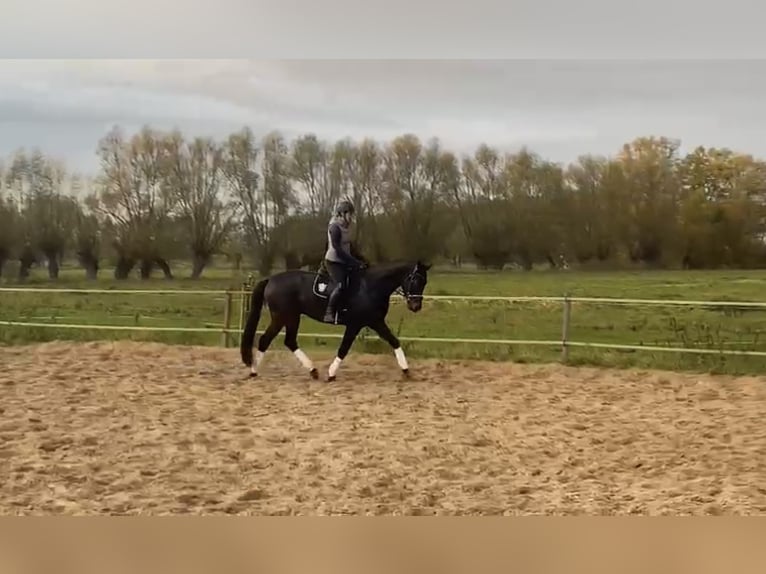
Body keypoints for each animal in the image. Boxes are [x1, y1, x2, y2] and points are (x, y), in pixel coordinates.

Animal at [239, 260, 431, 382]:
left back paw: (313, 371)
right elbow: (344, 348)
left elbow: (394, 341)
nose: (416, 306)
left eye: (424, 282)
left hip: (292, 317)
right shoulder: (356, 324)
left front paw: (406, 371)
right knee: (266, 340)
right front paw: (331, 374)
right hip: (283, 316)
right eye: (414, 279)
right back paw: (253, 371)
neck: (370, 287)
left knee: (289, 341)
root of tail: (271, 279)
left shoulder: (375, 321)